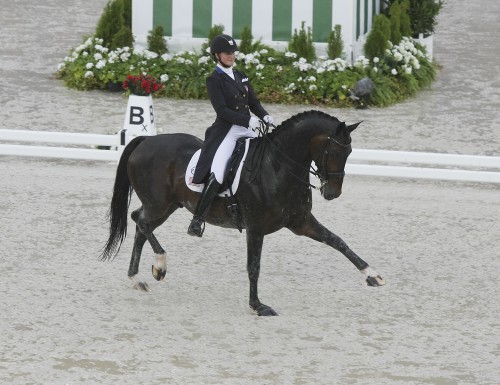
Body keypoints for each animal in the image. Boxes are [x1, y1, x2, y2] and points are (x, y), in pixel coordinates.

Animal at [99, 109, 384, 314]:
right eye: (334, 150)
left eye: (349, 151)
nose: (332, 193)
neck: (277, 167)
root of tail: (146, 140)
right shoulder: (255, 228)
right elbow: (254, 266)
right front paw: (258, 306)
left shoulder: (301, 222)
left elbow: (338, 241)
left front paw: (372, 275)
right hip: (159, 204)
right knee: (142, 223)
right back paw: (159, 265)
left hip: (167, 206)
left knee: (140, 223)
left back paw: (138, 278)